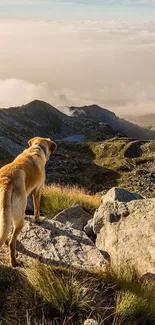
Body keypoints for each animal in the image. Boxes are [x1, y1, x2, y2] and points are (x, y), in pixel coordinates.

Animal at [0, 135, 56, 264]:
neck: (36, 148)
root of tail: (6, 182)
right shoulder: (38, 190)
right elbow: (37, 208)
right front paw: (38, 219)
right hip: (19, 220)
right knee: (12, 243)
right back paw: (14, 262)